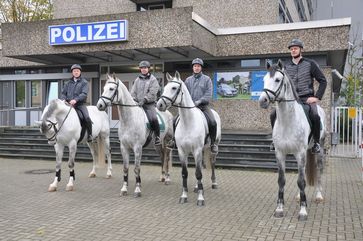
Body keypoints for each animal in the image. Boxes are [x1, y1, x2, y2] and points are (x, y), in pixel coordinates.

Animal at [156, 71, 222, 205]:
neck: (188, 122)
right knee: (201, 165)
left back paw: (214, 183)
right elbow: (185, 173)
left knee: (212, 163)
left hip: (212, 147)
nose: (159, 105)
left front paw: (201, 198)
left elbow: (198, 173)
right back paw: (197, 187)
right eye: (164, 88)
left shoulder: (196, 150)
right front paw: (184, 196)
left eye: (174, 88)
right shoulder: (182, 151)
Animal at [258, 60, 328, 220]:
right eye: (264, 79)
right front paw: (279, 209)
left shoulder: (300, 153)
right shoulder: (280, 153)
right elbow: (282, 180)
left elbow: (301, 181)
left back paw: (319, 196)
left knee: (319, 171)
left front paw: (303, 211)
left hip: (319, 149)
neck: (288, 121)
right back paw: (298, 196)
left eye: (277, 80)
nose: (263, 101)